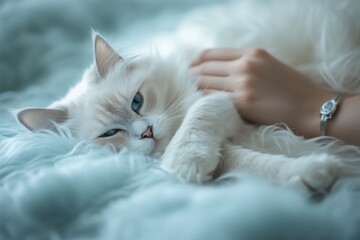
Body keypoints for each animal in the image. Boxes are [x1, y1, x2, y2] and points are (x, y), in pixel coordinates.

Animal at [17, 0, 360, 191]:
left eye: (137, 102)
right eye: (110, 134)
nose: (147, 132)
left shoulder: (216, 98)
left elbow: (194, 124)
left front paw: (182, 162)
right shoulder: (229, 145)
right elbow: (256, 165)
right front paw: (316, 172)